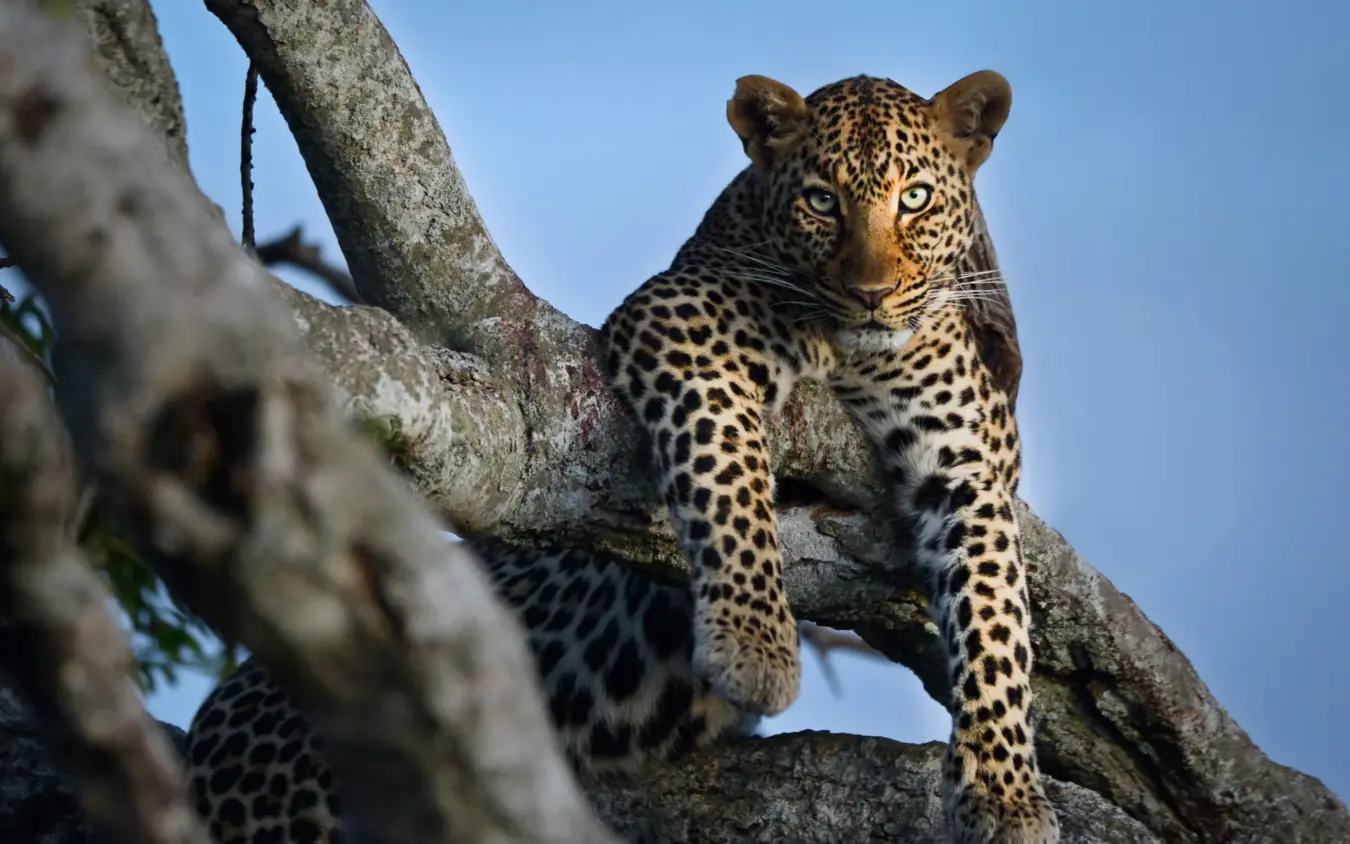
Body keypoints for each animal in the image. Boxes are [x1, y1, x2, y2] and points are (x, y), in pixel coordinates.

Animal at [184, 69, 1057, 844]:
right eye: (821, 200)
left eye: (915, 198)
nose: (872, 294)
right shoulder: (681, 323)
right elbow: (729, 469)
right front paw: (754, 646)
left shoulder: (968, 462)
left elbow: (995, 622)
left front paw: (1006, 795)